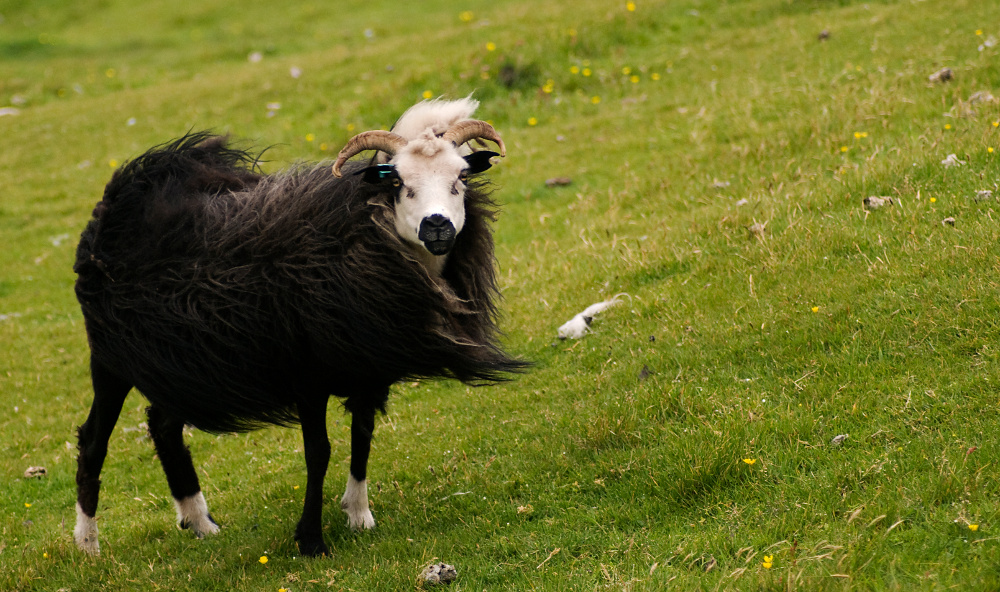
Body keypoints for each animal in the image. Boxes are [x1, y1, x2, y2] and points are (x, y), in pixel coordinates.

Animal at [71, 96, 528, 556]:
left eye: (462, 177)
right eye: (397, 182)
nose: (437, 226)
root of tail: (117, 199)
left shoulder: (369, 369)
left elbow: (362, 436)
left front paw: (358, 514)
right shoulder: (307, 377)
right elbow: (318, 453)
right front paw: (311, 538)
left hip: (175, 362)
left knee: (162, 426)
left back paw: (199, 522)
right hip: (109, 360)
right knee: (94, 441)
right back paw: (88, 545)